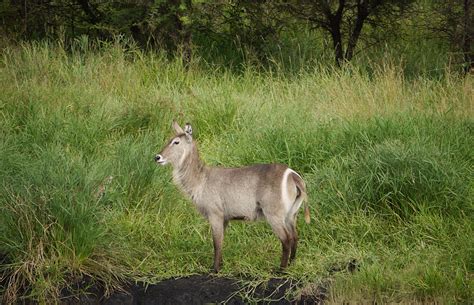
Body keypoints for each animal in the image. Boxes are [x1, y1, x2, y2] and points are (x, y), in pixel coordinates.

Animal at [156, 121, 310, 270]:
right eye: (168, 139)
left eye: (176, 142)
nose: (157, 157)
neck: (201, 179)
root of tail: (292, 175)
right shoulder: (225, 218)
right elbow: (221, 242)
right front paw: (221, 265)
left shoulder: (215, 214)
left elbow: (216, 243)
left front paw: (215, 269)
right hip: (291, 214)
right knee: (295, 236)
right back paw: (291, 264)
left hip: (274, 214)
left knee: (286, 239)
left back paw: (281, 269)